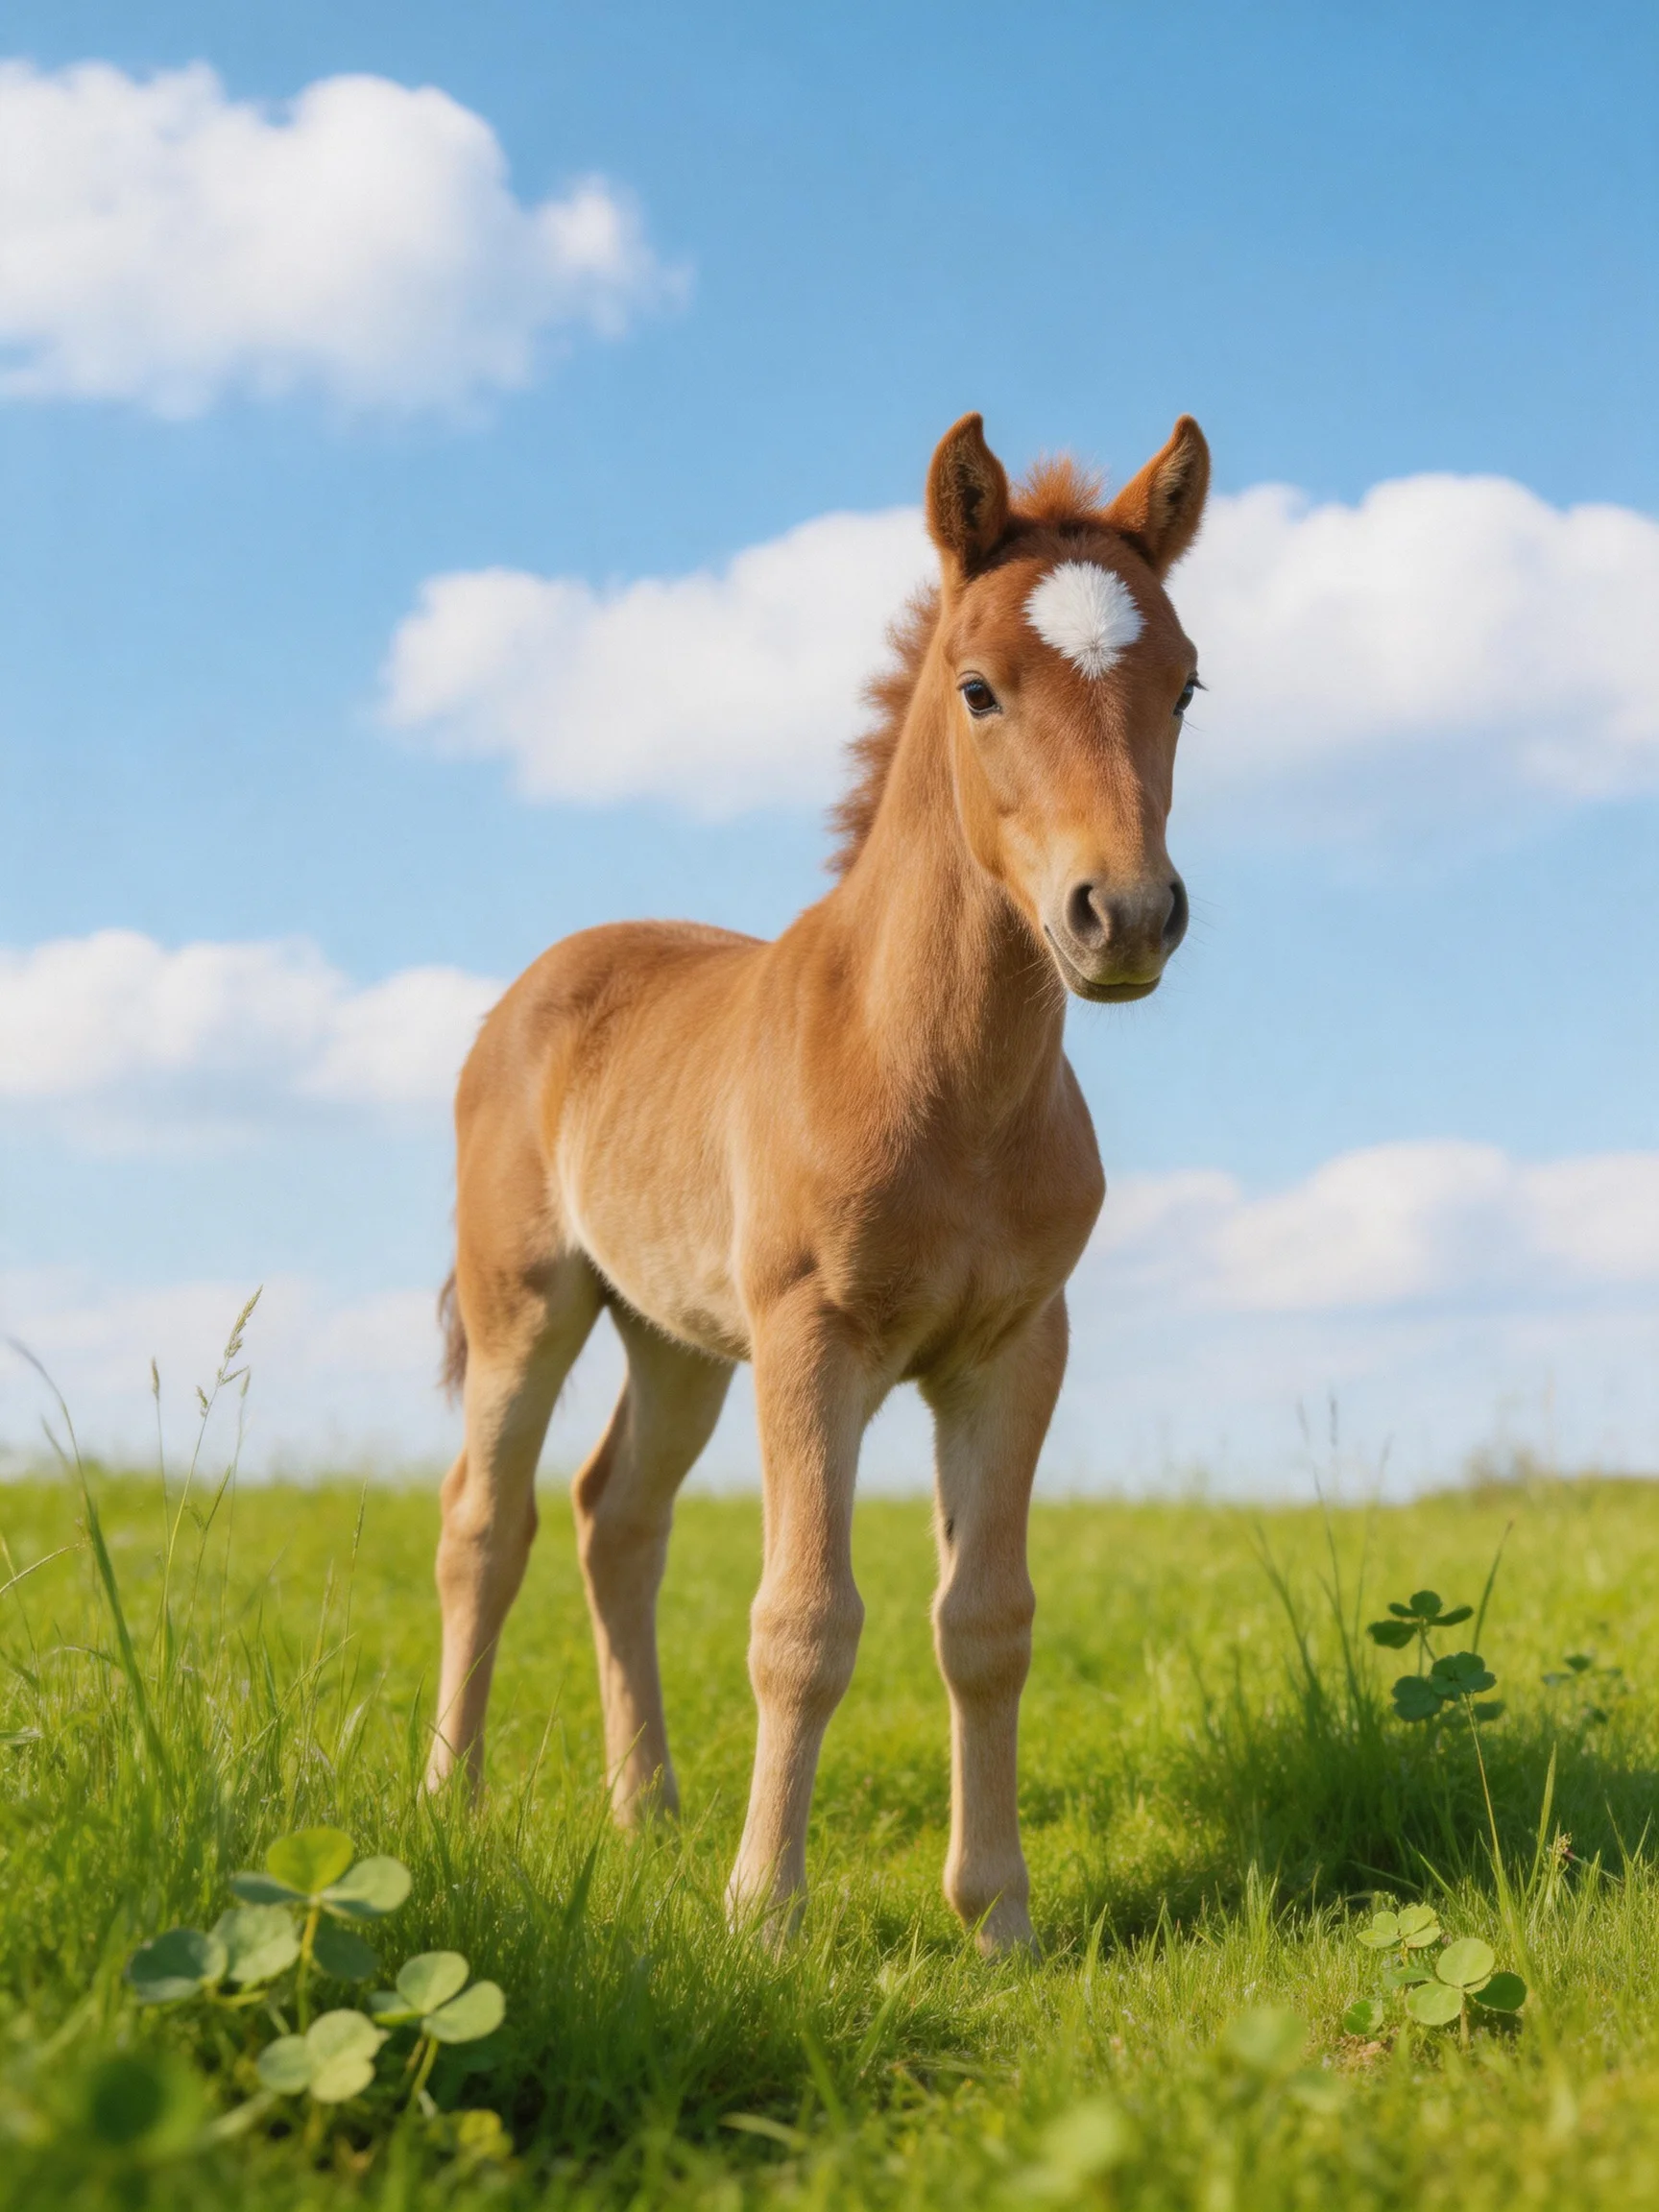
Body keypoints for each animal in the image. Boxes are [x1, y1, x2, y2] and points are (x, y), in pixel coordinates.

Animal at [426, 410, 1209, 1952]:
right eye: (979, 688)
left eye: (1187, 686)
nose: (1127, 916)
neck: (937, 1082)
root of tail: (535, 988)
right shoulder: (811, 1338)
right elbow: (803, 1621)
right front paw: (764, 1915)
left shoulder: (1015, 1350)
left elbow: (985, 1619)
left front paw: (999, 1916)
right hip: (528, 1305)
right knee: (487, 1522)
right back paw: (450, 1798)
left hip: (674, 1337)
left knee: (618, 1518)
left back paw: (649, 1810)